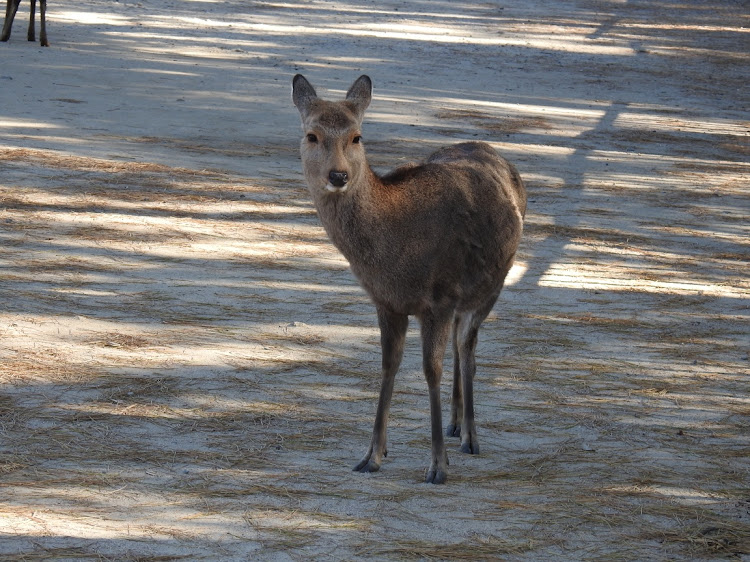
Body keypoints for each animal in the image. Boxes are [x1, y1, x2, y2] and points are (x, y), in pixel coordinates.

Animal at [290, 73, 524, 482]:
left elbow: (431, 370)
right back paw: (455, 423)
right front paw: (372, 455)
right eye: (312, 135)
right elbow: (388, 365)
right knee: (460, 344)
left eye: (357, 136)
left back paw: (470, 436)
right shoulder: (386, 301)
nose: (338, 175)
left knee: (467, 347)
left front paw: (437, 465)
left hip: (494, 284)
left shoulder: (440, 297)